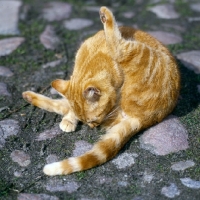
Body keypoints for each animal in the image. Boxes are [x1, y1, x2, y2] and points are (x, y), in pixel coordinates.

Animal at [22, 6, 180, 175]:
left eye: (93, 120)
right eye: (88, 122)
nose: (93, 127)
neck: (92, 59)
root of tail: (144, 119)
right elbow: (69, 107)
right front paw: (70, 119)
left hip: (137, 54)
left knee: (119, 46)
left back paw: (105, 15)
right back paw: (28, 96)